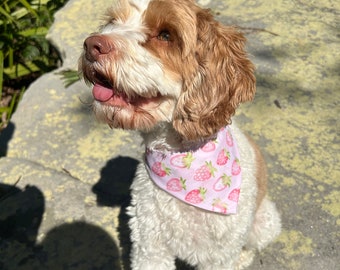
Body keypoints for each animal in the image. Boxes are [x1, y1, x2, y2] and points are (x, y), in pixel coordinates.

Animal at [79, 0, 282, 268]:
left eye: (166, 35)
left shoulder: (220, 255)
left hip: (265, 222)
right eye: (113, 21)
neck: (182, 157)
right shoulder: (149, 244)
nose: (92, 44)